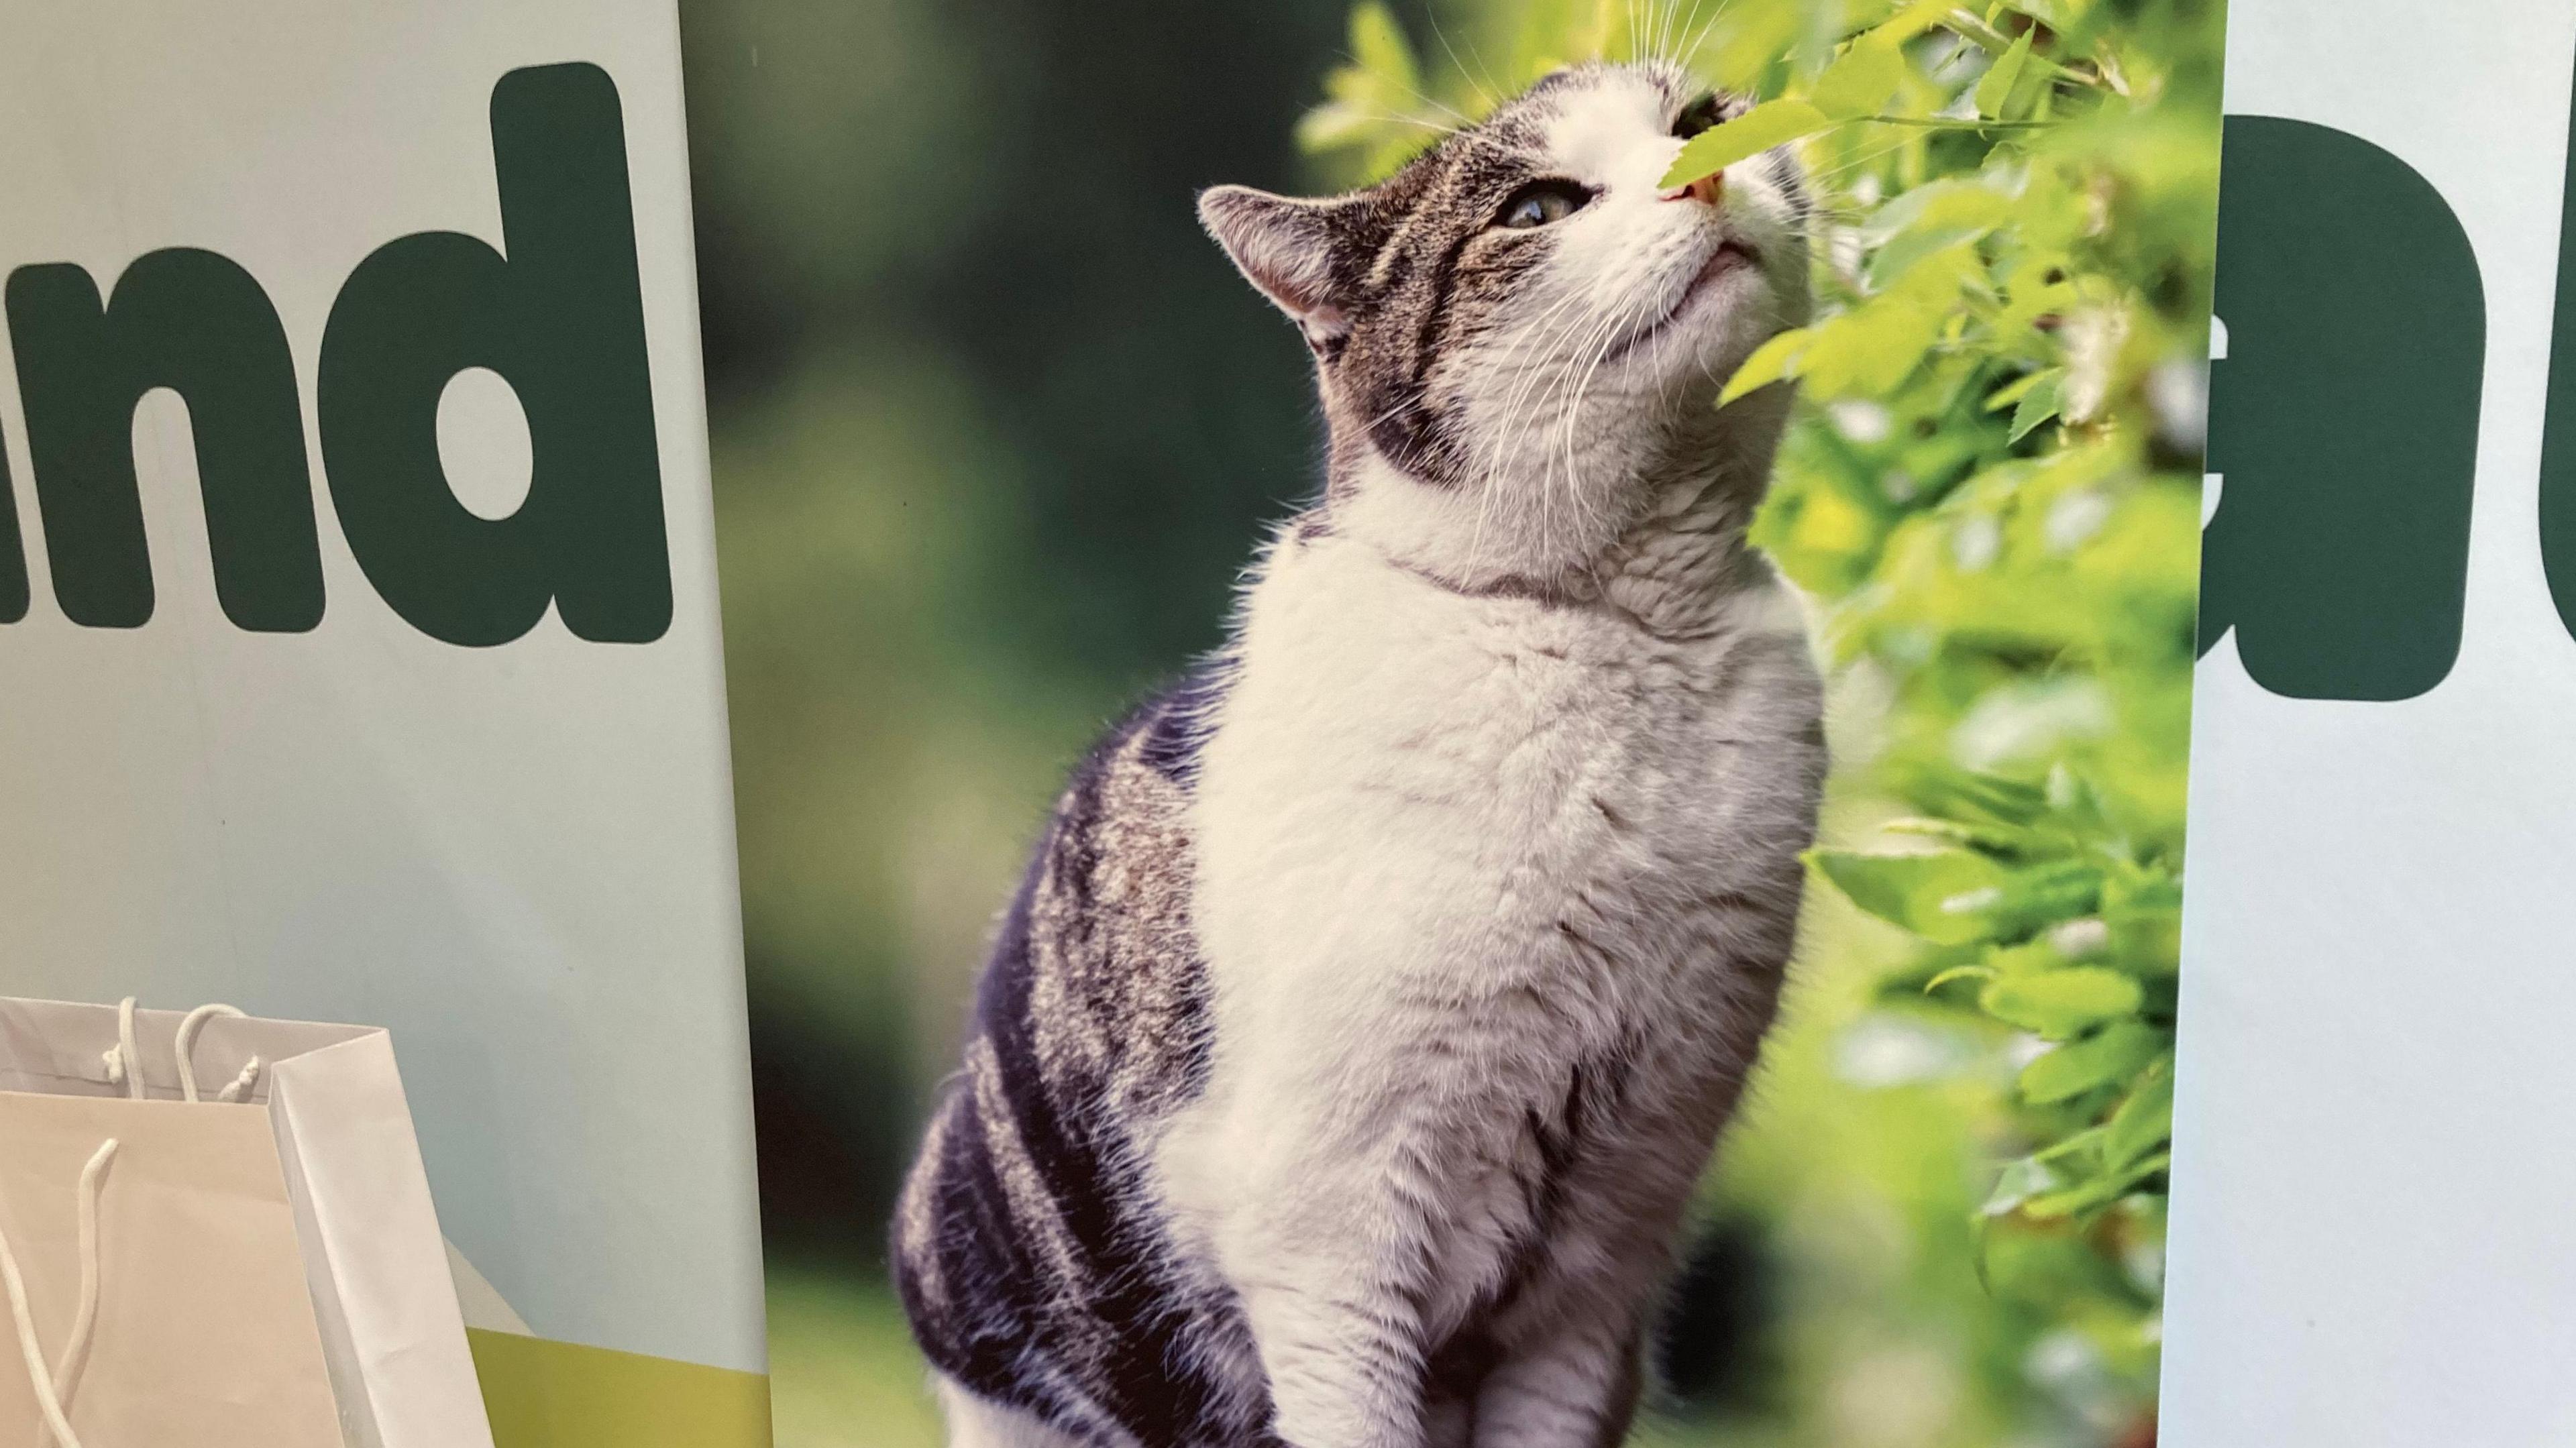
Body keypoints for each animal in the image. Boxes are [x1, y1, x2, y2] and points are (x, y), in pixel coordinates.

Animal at [896, 59, 1823, 1443]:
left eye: (1704, 122)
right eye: (1538, 208)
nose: (1707, 171)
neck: (1618, 627)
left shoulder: (1603, 1257)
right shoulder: (1330, 1235)